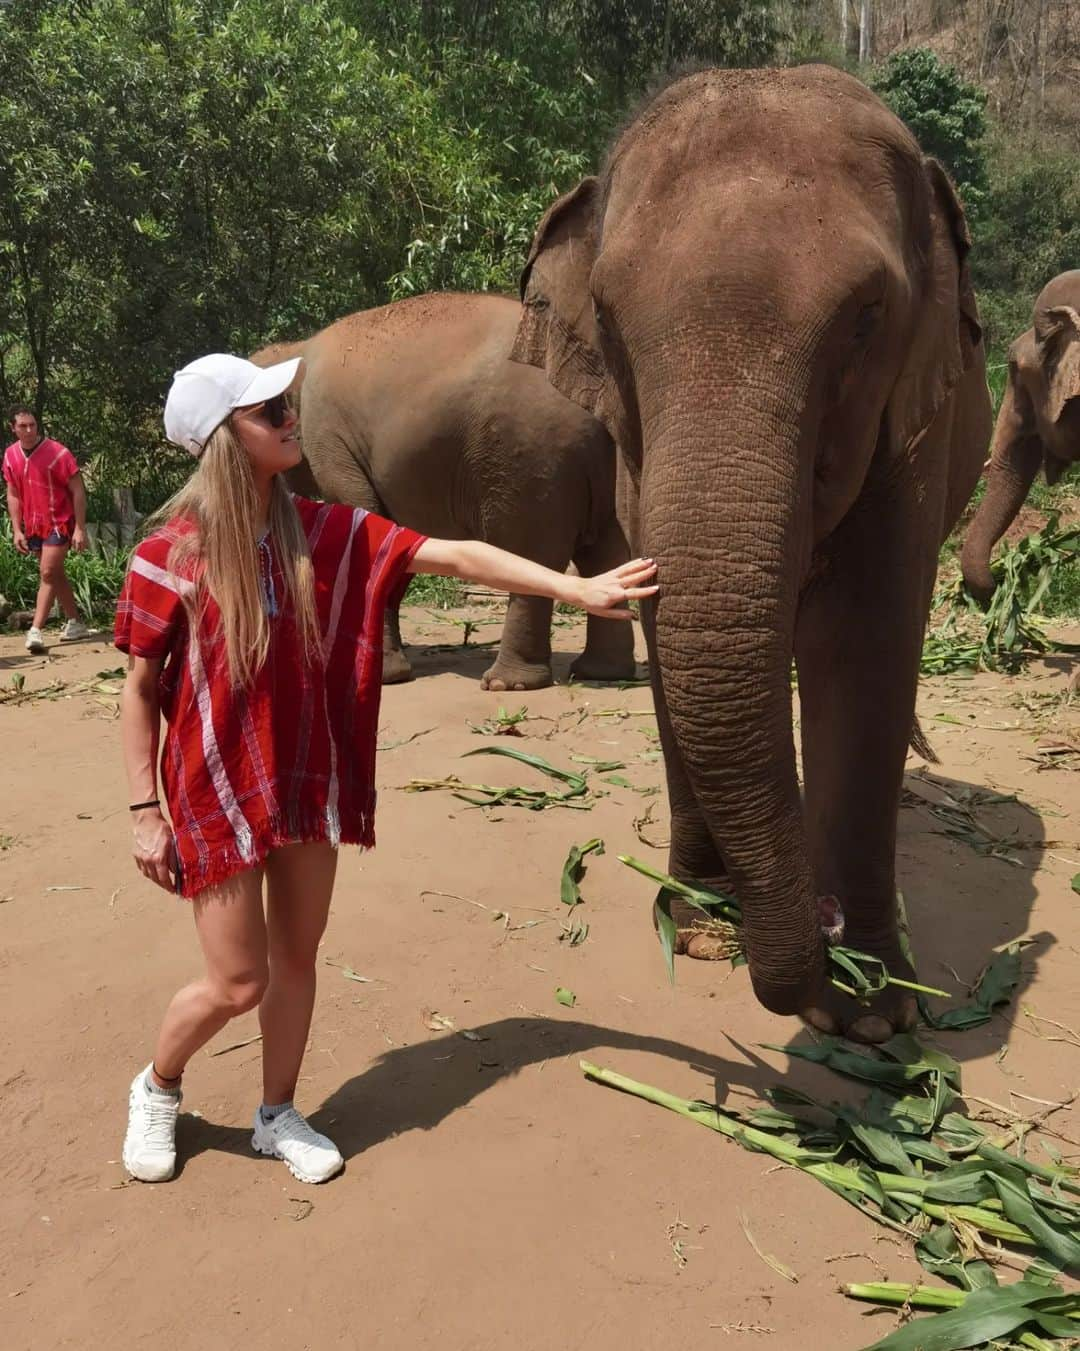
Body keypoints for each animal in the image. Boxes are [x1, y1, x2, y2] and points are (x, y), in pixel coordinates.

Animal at [252, 297, 632, 697]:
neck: (296, 349)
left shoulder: (329, 438)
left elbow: (366, 525)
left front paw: (382, 677)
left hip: (530, 459)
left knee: (533, 552)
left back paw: (507, 684)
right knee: (606, 553)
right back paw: (603, 673)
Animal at [510, 63, 994, 1037]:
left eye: (867, 315)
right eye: (607, 318)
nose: (823, 933)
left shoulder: (912, 436)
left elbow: (865, 641)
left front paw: (875, 1010)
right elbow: (670, 634)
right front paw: (700, 930)